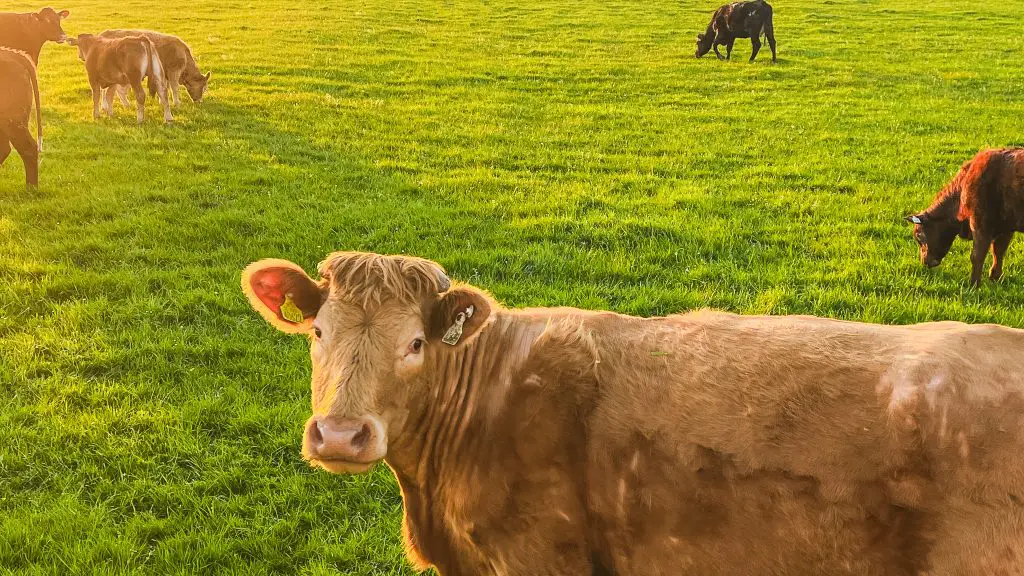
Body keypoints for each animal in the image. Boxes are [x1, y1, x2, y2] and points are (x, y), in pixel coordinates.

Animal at [906, 147, 1024, 287]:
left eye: (918, 235)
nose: (925, 262)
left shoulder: (980, 224)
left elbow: (977, 255)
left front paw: (973, 284)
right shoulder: (1005, 228)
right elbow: (998, 252)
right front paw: (995, 278)